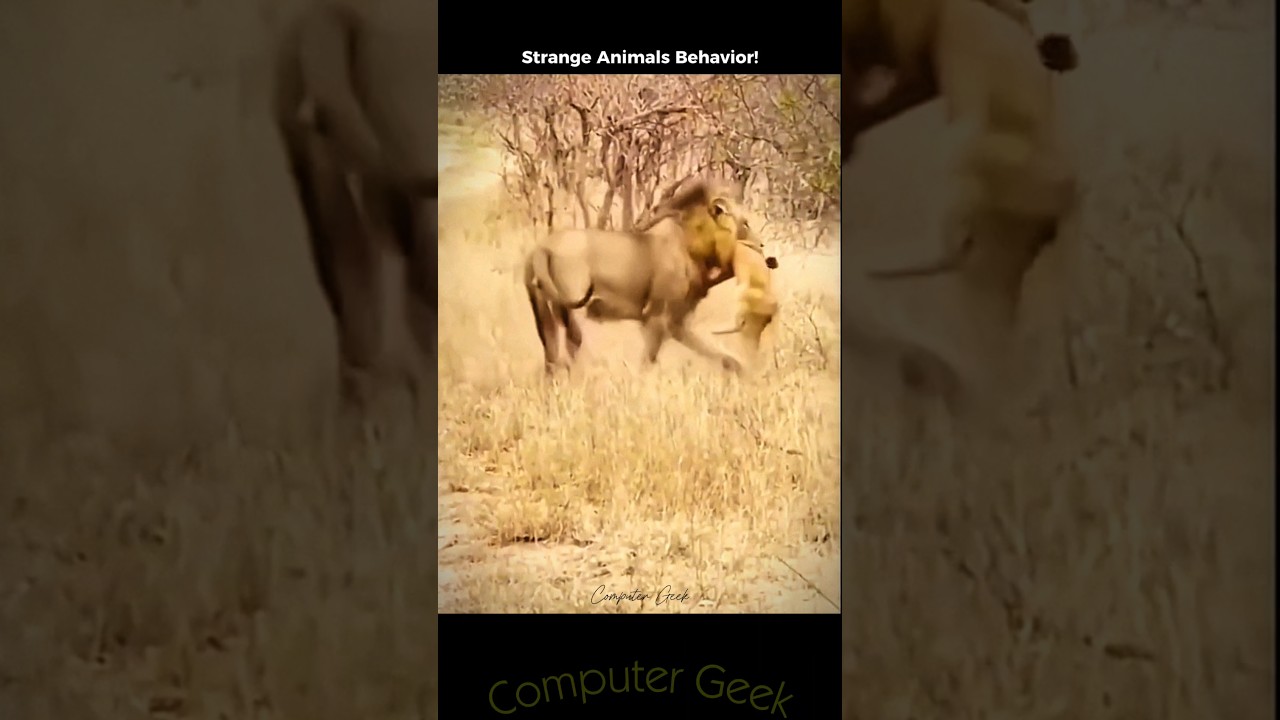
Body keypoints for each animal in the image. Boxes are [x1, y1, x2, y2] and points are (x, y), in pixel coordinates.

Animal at [523, 180, 760, 375]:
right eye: (746, 223)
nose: (762, 247)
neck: (693, 243)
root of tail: (542, 248)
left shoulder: (676, 321)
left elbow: (717, 354)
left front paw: (741, 370)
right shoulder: (657, 317)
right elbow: (649, 360)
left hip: (543, 313)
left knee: (551, 358)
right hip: (571, 305)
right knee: (572, 346)